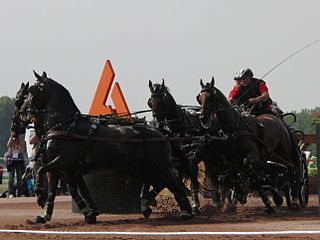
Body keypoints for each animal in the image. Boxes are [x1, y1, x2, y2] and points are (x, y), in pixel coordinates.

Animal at [11, 71, 192, 223]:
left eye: (31, 91)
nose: (16, 125)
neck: (64, 126)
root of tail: (162, 132)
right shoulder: (59, 167)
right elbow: (55, 190)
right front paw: (45, 215)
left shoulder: (64, 162)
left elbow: (46, 174)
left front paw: (39, 193)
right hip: (145, 168)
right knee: (162, 183)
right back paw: (147, 205)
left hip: (161, 166)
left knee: (175, 184)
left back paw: (186, 212)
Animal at [196, 78, 302, 213]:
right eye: (199, 98)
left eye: (211, 97)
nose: (203, 118)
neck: (235, 127)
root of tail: (278, 120)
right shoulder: (236, 161)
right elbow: (252, 177)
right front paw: (268, 202)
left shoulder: (252, 155)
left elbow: (251, 170)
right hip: (267, 156)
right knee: (275, 170)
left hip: (284, 151)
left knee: (292, 168)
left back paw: (294, 200)